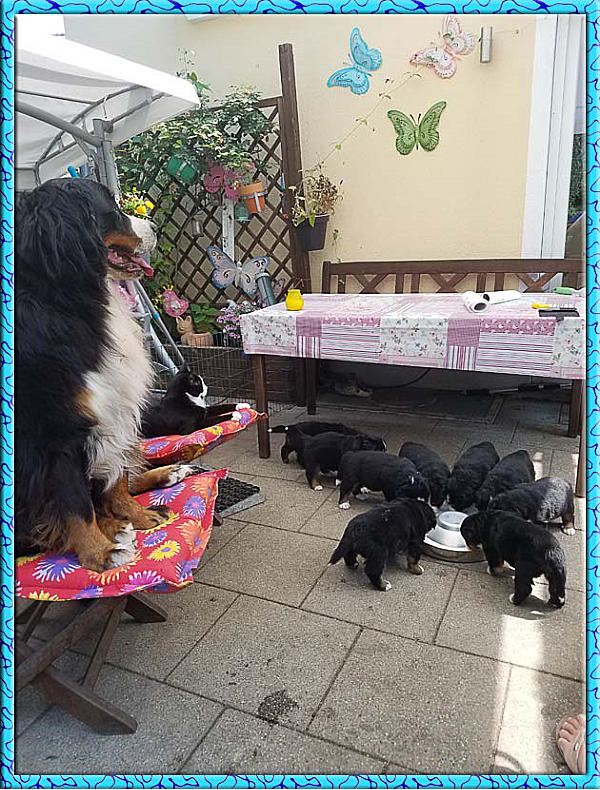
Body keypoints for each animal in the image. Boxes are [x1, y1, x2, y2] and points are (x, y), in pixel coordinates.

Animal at [15, 178, 186, 571]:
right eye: (111, 207)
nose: (155, 226)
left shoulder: (115, 407)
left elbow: (117, 480)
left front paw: (137, 515)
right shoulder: (56, 432)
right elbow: (74, 501)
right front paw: (99, 551)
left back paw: (163, 475)